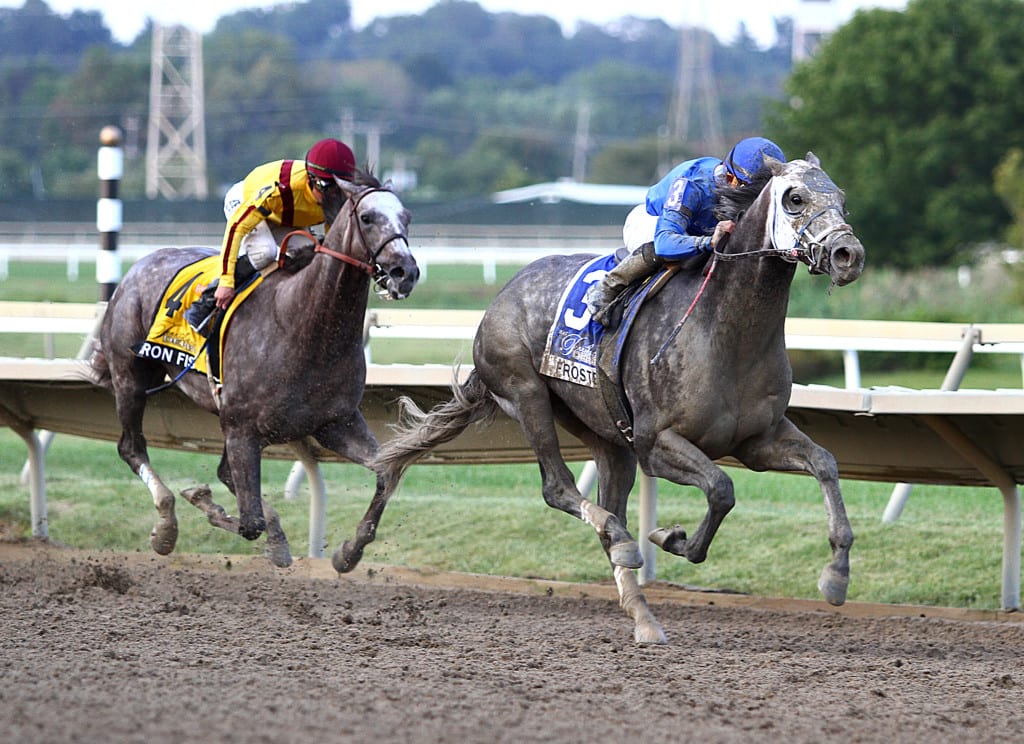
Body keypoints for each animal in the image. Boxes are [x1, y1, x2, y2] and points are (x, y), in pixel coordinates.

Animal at [90, 169, 417, 564]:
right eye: (367, 218)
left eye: (407, 218)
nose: (405, 272)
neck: (305, 326)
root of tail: (137, 267)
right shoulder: (243, 429)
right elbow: (251, 523)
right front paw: (203, 503)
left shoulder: (335, 422)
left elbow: (388, 469)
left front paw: (349, 551)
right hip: (131, 378)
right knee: (131, 447)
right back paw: (166, 525)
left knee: (219, 471)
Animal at [337, 154, 864, 642]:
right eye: (794, 198)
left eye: (841, 198)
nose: (848, 254)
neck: (727, 332)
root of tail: (503, 293)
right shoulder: (656, 444)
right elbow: (721, 488)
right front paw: (670, 537)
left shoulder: (757, 440)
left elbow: (824, 463)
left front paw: (836, 576)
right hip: (526, 393)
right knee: (560, 489)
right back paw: (624, 543)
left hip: (604, 433)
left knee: (610, 506)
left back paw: (643, 615)